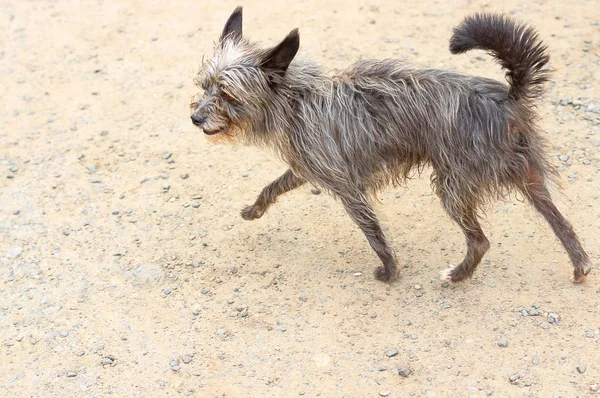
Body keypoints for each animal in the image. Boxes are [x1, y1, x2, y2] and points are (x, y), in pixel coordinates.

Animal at [192, 7, 592, 284]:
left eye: (227, 94)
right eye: (204, 86)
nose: (195, 118)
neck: (295, 100)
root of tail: (507, 98)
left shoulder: (346, 188)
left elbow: (372, 232)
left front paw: (390, 270)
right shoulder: (308, 169)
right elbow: (273, 186)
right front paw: (253, 210)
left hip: (453, 187)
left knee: (480, 242)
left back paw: (457, 276)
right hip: (528, 180)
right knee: (562, 224)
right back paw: (580, 266)